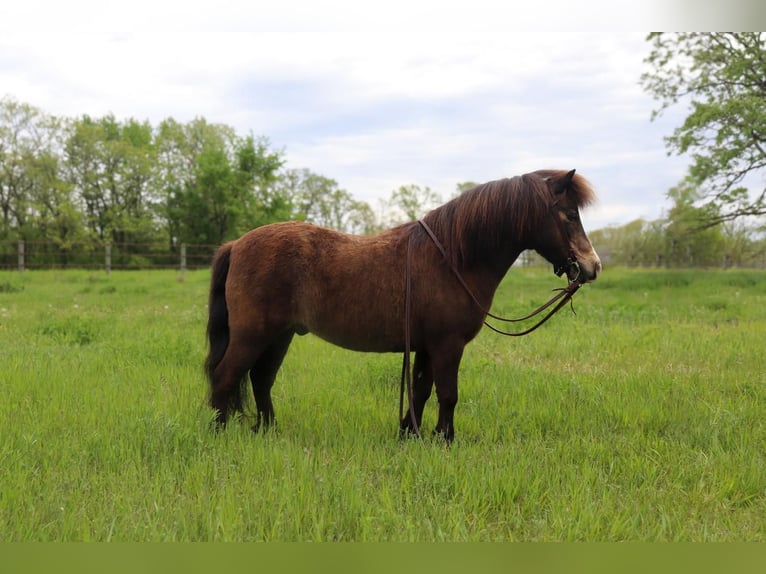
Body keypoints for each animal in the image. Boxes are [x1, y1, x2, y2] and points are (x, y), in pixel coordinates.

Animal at [207, 169, 604, 444]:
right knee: (226, 376)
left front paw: (409, 434)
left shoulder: (428, 346)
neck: (453, 259)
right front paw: (445, 440)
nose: (592, 266)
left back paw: (268, 431)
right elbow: (447, 394)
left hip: (280, 336)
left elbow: (421, 390)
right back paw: (217, 433)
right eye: (570, 215)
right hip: (253, 336)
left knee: (260, 380)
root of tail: (237, 244)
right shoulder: (447, 345)